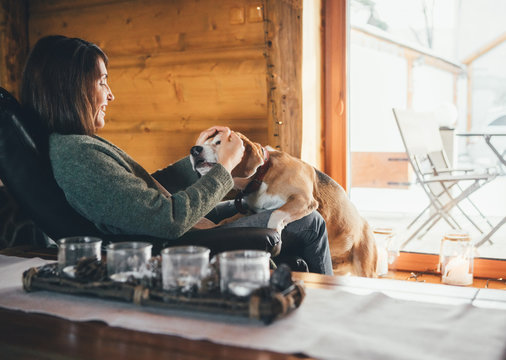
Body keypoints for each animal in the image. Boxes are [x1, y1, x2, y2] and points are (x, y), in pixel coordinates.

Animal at [192, 131, 378, 278]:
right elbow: (226, 221)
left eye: (218, 142)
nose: (194, 150)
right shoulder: (250, 211)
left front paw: (275, 233)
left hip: (365, 267)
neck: (263, 174)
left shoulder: (304, 200)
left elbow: (276, 213)